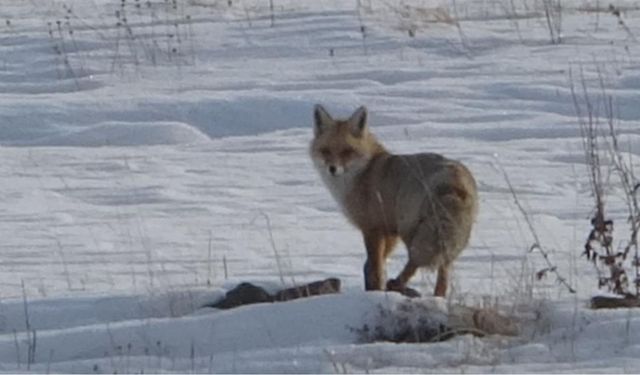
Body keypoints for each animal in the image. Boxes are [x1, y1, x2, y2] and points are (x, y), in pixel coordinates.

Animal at [308, 105, 478, 296]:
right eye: (325, 150)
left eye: (347, 152)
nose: (332, 169)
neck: (364, 171)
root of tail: (454, 179)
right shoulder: (389, 231)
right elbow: (375, 263)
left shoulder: (373, 228)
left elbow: (375, 266)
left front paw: (375, 289)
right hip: (444, 237)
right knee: (444, 271)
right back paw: (437, 296)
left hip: (411, 231)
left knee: (415, 261)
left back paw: (397, 284)